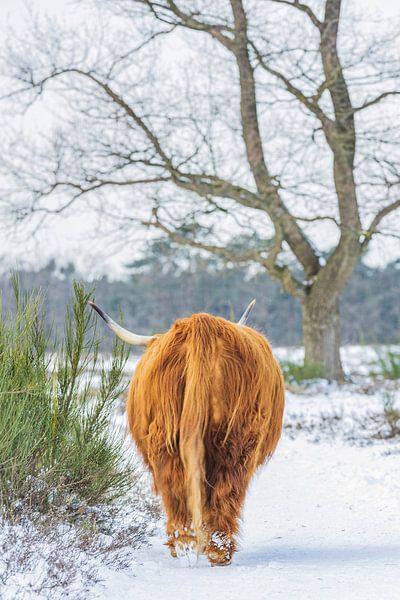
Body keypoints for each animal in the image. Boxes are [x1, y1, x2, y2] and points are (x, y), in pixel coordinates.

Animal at [90, 300, 284, 568]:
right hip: (229, 437)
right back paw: (210, 550)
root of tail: (200, 325)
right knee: (219, 489)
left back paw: (190, 548)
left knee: (184, 488)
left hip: (175, 433)